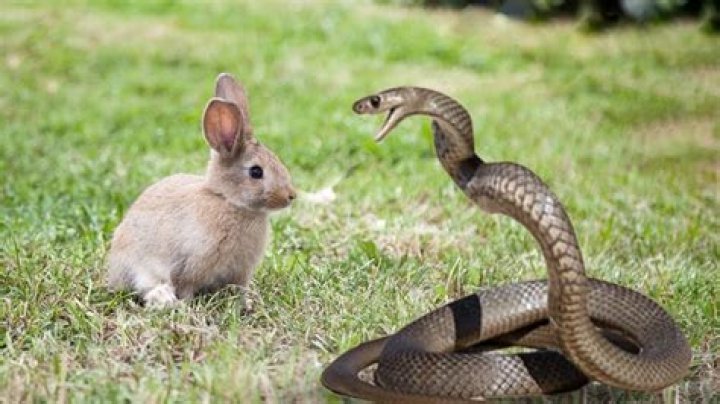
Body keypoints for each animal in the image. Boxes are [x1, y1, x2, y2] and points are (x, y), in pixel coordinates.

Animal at [106, 73, 296, 307]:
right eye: (256, 172)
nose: (290, 196)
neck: (227, 200)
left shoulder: (240, 273)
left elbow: (240, 289)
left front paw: (246, 305)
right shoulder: (191, 265)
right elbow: (186, 287)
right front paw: (187, 305)